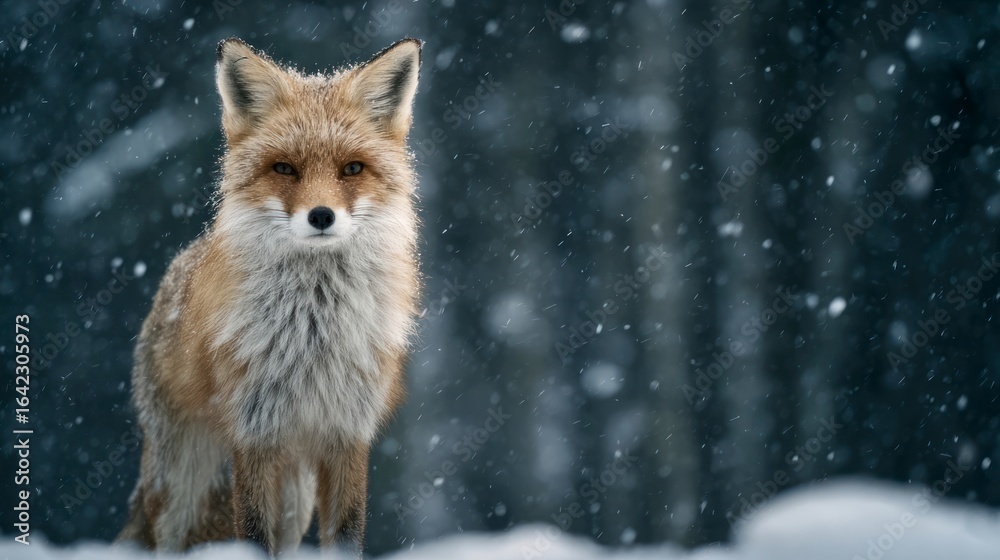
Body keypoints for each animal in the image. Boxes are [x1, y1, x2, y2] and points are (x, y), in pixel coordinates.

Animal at [116, 37, 423, 556]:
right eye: (284, 168)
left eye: (352, 169)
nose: (321, 215)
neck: (315, 330)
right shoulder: (254, 432)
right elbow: (253, 535)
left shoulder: (348, 432)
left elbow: (347, 534)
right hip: (184, 481)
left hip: (295, 497)